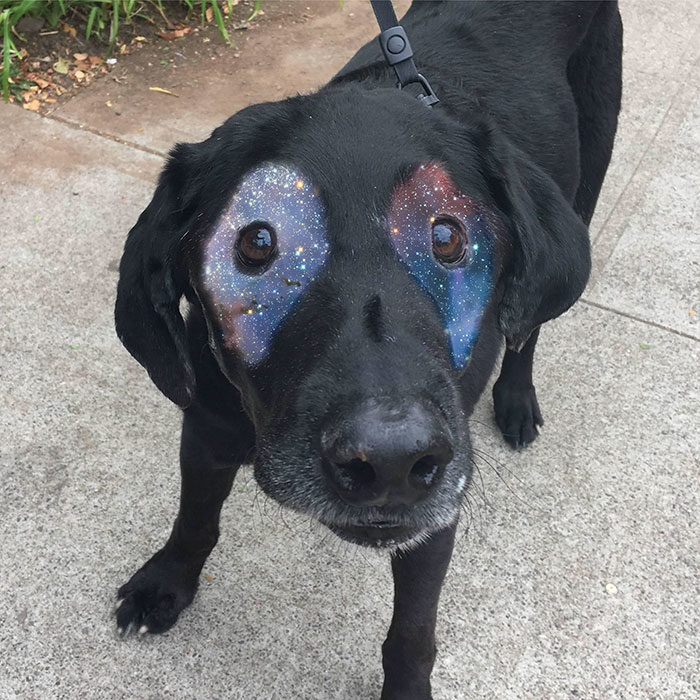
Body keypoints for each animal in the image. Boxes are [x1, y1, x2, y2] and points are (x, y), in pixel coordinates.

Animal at [115, 2, 624, 696]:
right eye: (255, 242)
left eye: (447, 235)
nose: (390, 459)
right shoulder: (206, 427)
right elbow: (195, 517)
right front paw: (167, 582)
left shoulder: (434, 517)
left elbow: (412, 632)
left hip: (590, 169)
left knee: (530, 327)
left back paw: (517, 397)